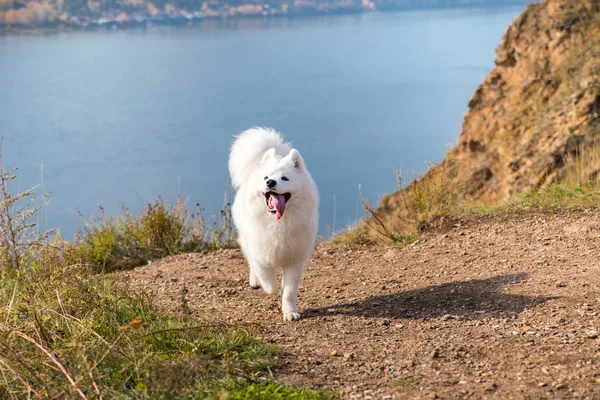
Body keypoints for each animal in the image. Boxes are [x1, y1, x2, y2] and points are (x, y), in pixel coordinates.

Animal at [227, 128, 318, 322]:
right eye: (266, 177)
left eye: (285, 178)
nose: (270, 182)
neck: (279, 223)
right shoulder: (261, 257)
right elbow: (270, 284)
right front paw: (271, 288)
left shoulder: (294, 261)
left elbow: (289, 291)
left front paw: (290, 312)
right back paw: (254, 281)